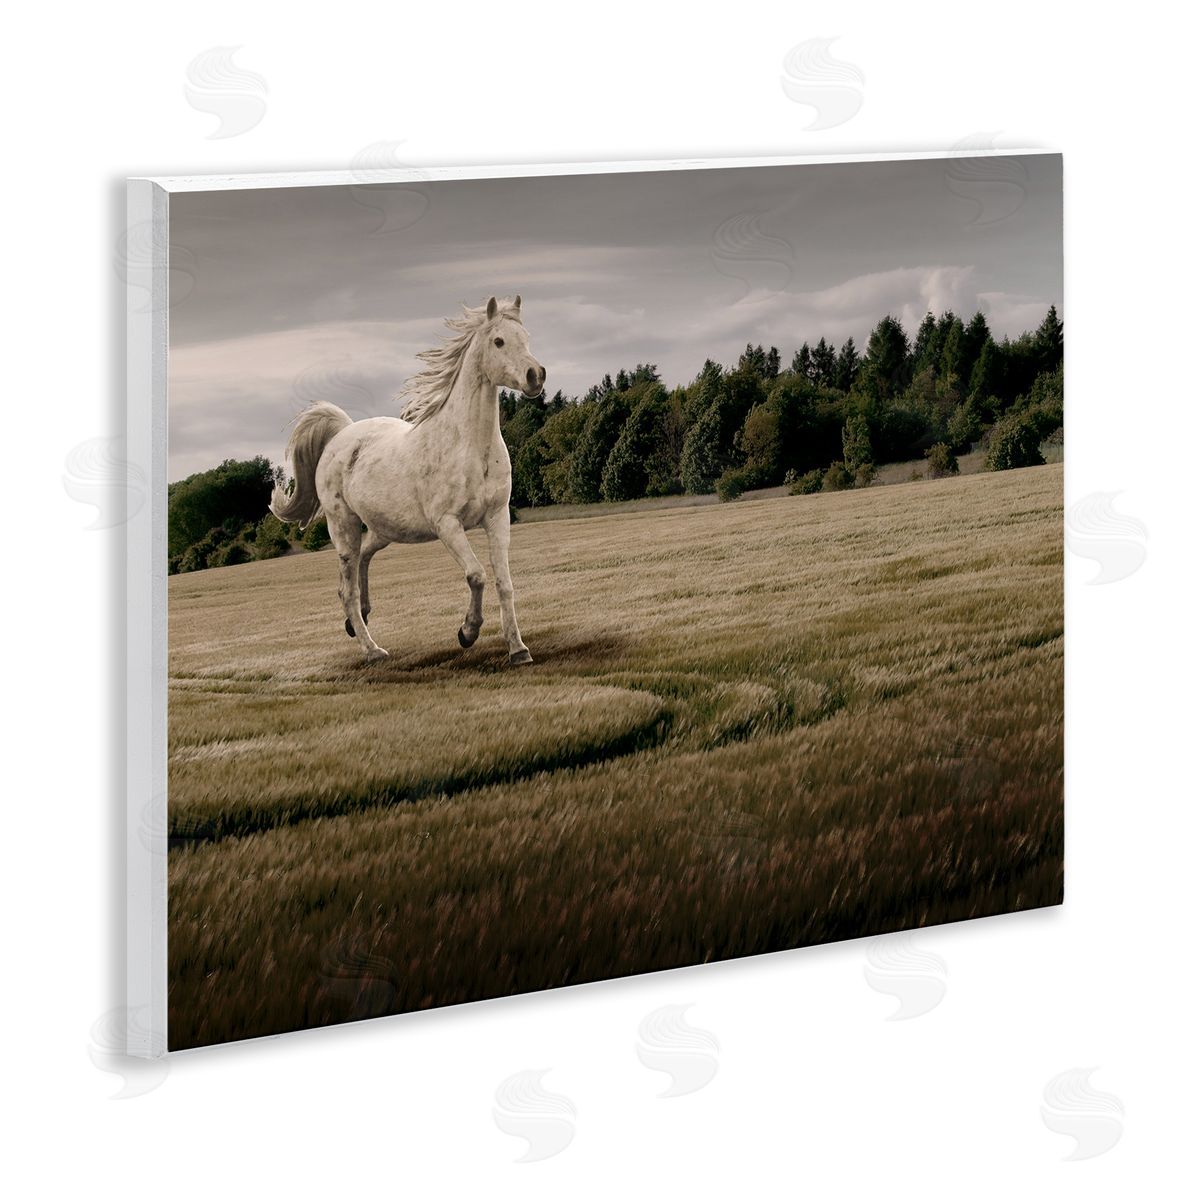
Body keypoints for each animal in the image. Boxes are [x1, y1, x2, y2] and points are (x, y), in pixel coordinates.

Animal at [269, 295, 545, 664]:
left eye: (526, 337)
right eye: (499, 341)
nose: (536, 376)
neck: (470, 446)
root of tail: (341, 435)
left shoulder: (497, 517)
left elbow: (504, 582)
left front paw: (518, 650)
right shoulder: (447, 524)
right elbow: (477, 575)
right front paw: (467, 632)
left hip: (385, 530)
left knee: (364, 559)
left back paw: (360, 619)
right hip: (344, 528)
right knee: (346, 589)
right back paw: (372, 649)